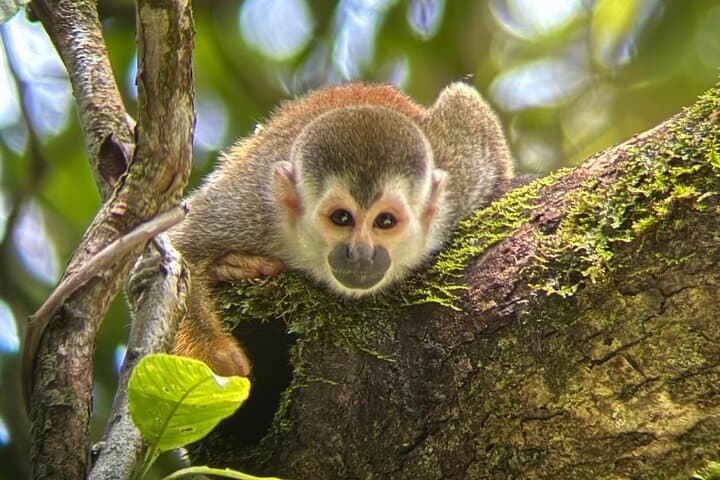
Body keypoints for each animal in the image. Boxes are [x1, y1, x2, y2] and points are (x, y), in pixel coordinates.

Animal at [168, 82, 513, 377]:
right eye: (341, 218)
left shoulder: (462, 178)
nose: (360, 254)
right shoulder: (255, 209)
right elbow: (182, 245)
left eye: (385, 221)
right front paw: (216, 356)